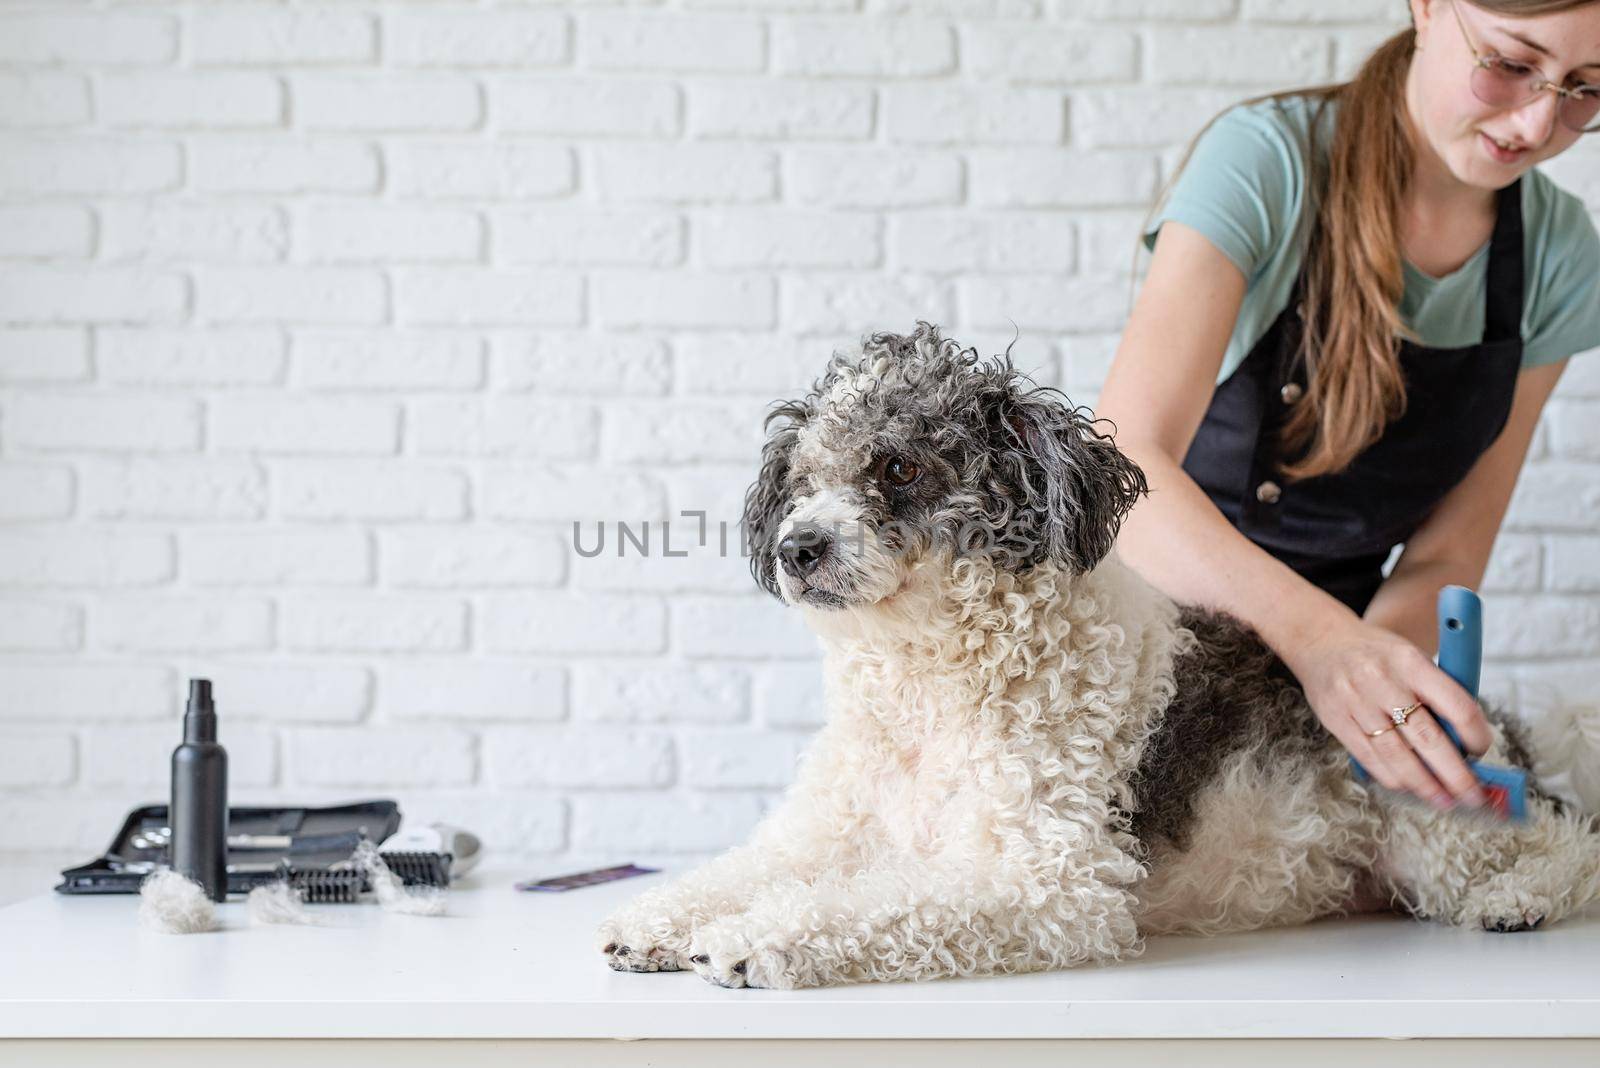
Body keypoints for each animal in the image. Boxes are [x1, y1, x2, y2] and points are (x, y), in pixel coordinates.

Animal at [592, 321, 1600, 991]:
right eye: (800, 480)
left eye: (899, 468)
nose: (797, 546)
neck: (932, 688)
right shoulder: (825, 834)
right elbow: (747, 868)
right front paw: (661, 919)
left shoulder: (1051, 884)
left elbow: (874, 904)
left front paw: (755, 938)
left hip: (1434, 821)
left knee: (1572, 840)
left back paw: (1522, 898)